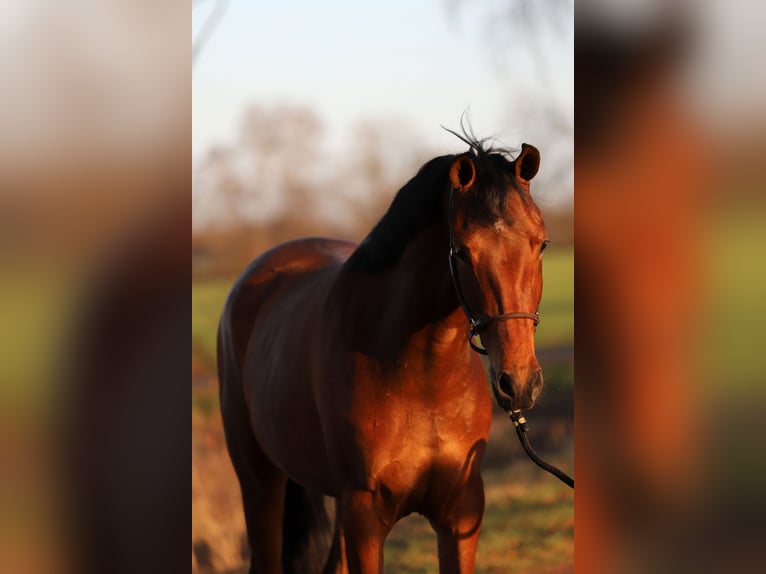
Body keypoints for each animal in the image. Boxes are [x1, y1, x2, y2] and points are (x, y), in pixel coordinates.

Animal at [217, 135, 548, 573]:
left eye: (541, 244)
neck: (420, 377)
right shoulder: (365, 518)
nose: (520, 382)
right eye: (462, 251)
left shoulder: (461, 513)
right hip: (260, 481)